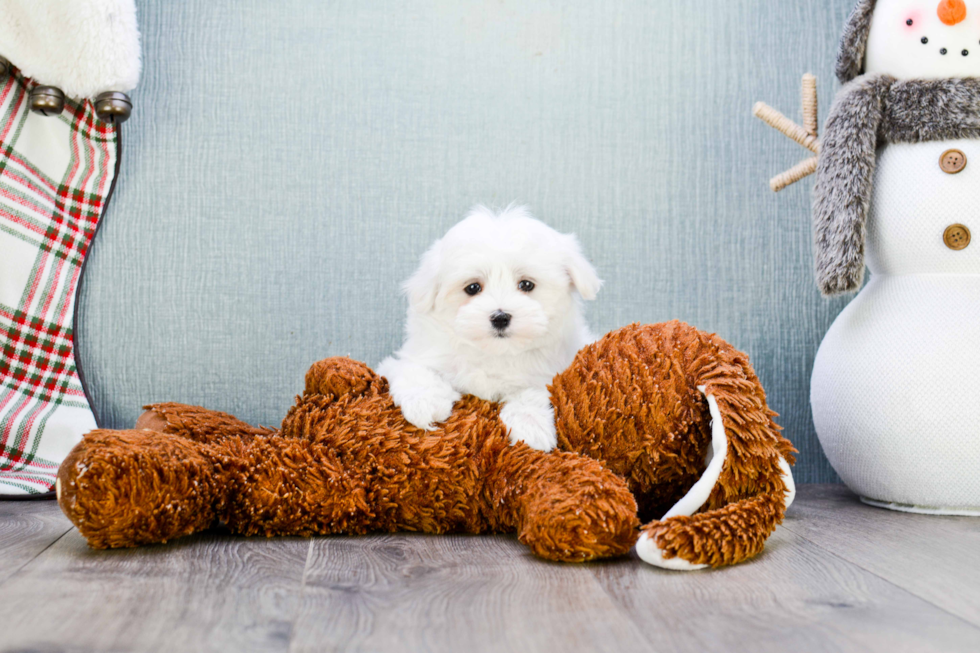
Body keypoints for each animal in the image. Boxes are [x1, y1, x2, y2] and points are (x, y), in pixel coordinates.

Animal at [378, 206, 600, 450]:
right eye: (473, 288)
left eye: (526, 285)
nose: (500, 317)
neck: (494, 353)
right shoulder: (413, 356)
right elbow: (415, 371)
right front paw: (423, 402)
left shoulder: (551, 371)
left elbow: (532, 392)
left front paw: (531, 426)